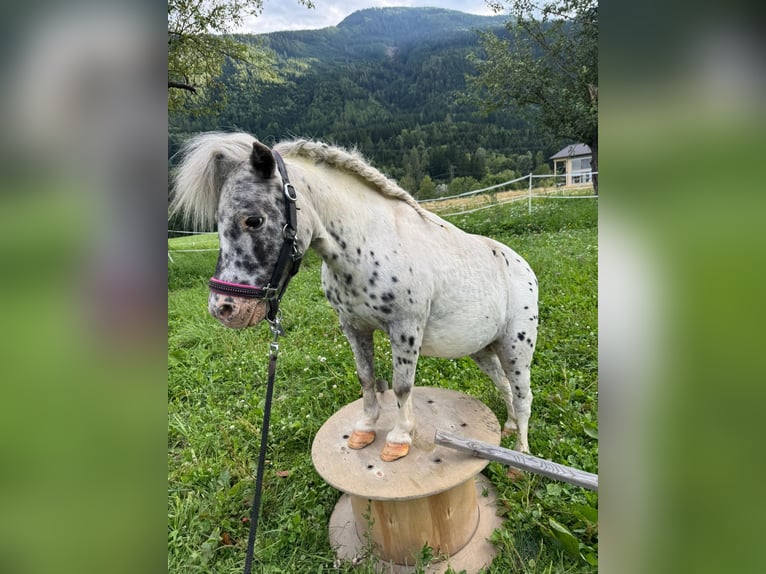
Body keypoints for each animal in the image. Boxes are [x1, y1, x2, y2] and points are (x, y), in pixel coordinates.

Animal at [170, 132, 539, 461]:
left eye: (254, 220)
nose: (225, 308)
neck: (373, 243)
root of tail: (523, 266)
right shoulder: (353, 326)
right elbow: (367, 377)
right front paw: (365, 429)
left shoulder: (406, 329)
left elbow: (402, 386)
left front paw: (399, 438)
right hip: (483, 348)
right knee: (504, 385)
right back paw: (507, 429)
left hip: (516, 346)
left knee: (522, 392)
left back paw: (520, 455)